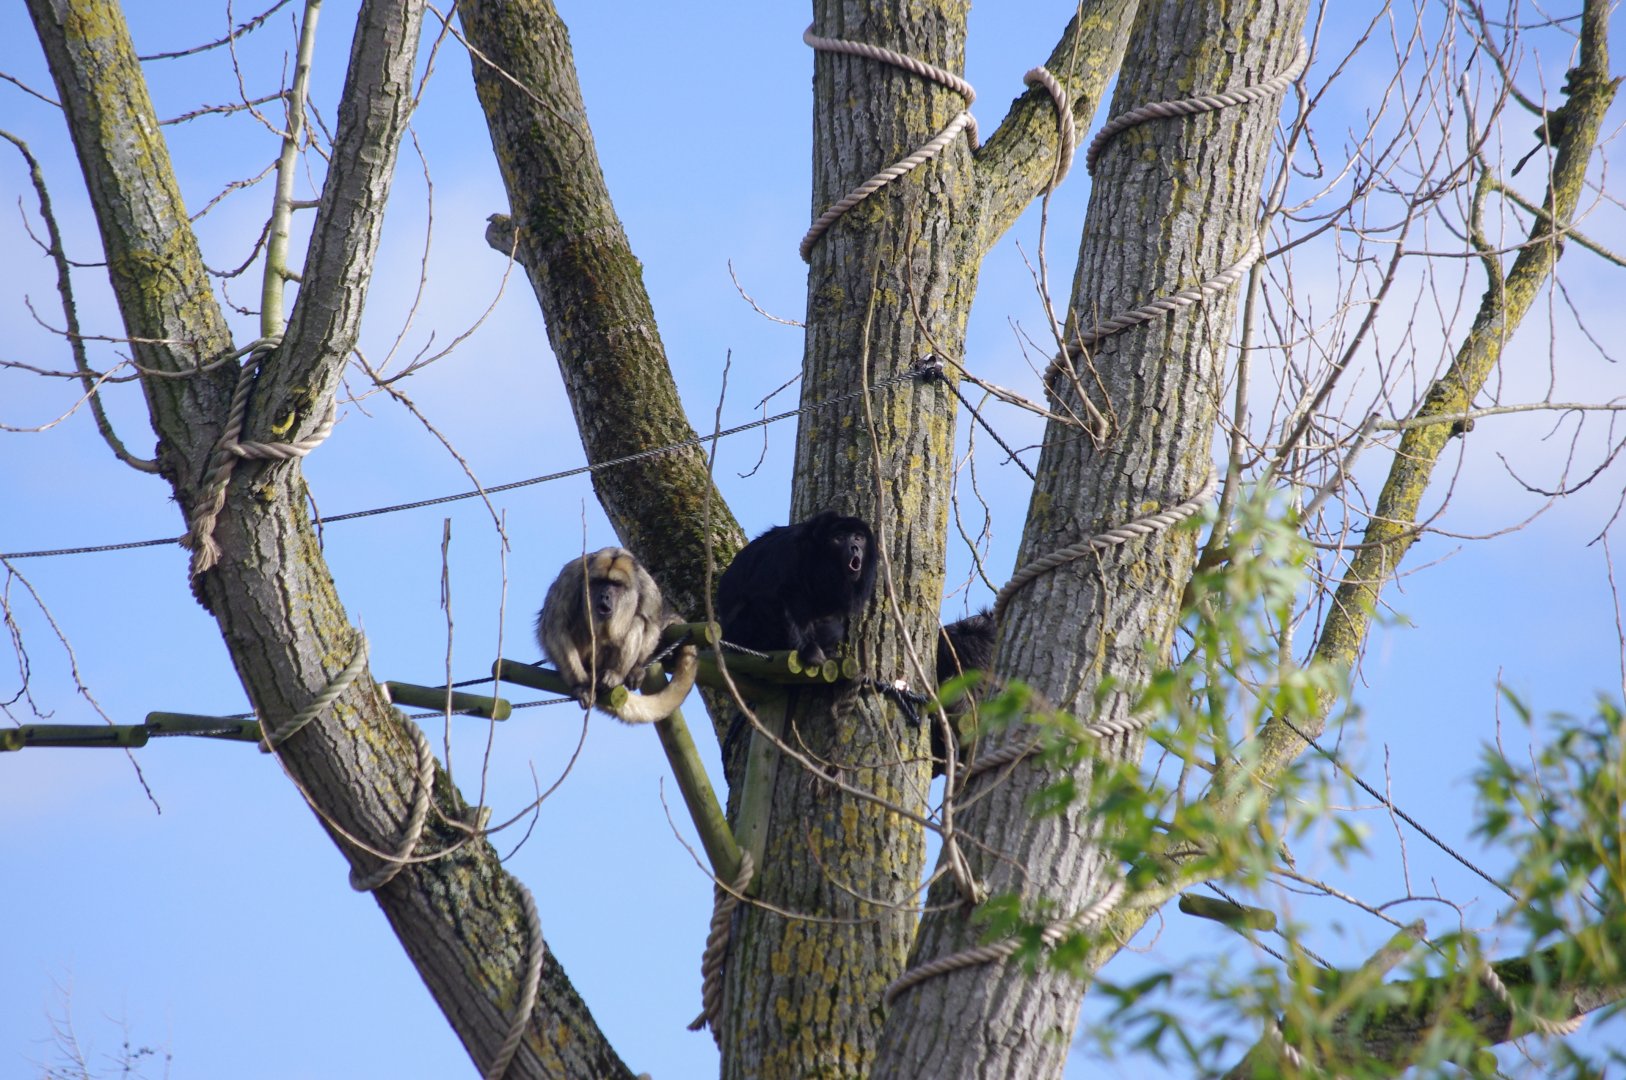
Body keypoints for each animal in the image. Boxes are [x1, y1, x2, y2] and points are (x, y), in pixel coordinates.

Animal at [536, 547, 698, 724]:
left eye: (616, 584)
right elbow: (556, 627)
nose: (605, 596)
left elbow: (651, 623)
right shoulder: (569, 577)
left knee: (638, 620)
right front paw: (581, 686)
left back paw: (615, 674)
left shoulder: (647, 586)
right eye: (600, 582)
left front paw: (636, 669)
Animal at [716, 510, 878, 667]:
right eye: (839, 538)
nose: (855, 548)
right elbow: (772, 595)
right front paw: (807, 650)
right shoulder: (789, 550)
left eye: (858, 538)